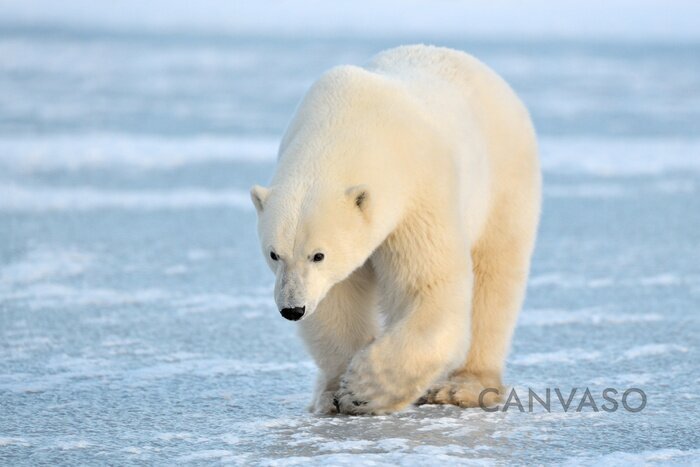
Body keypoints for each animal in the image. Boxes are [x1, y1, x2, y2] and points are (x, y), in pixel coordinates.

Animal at [252, 44, 540, 416]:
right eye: (274, 254)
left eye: (318, 255)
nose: (292, 309)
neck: (350, 122)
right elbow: (336, 301)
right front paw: (336, 392)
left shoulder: (418, 193)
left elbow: (429, 287)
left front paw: (363, 389)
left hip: (503, 182)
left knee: (495, 277)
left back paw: (463, 387)